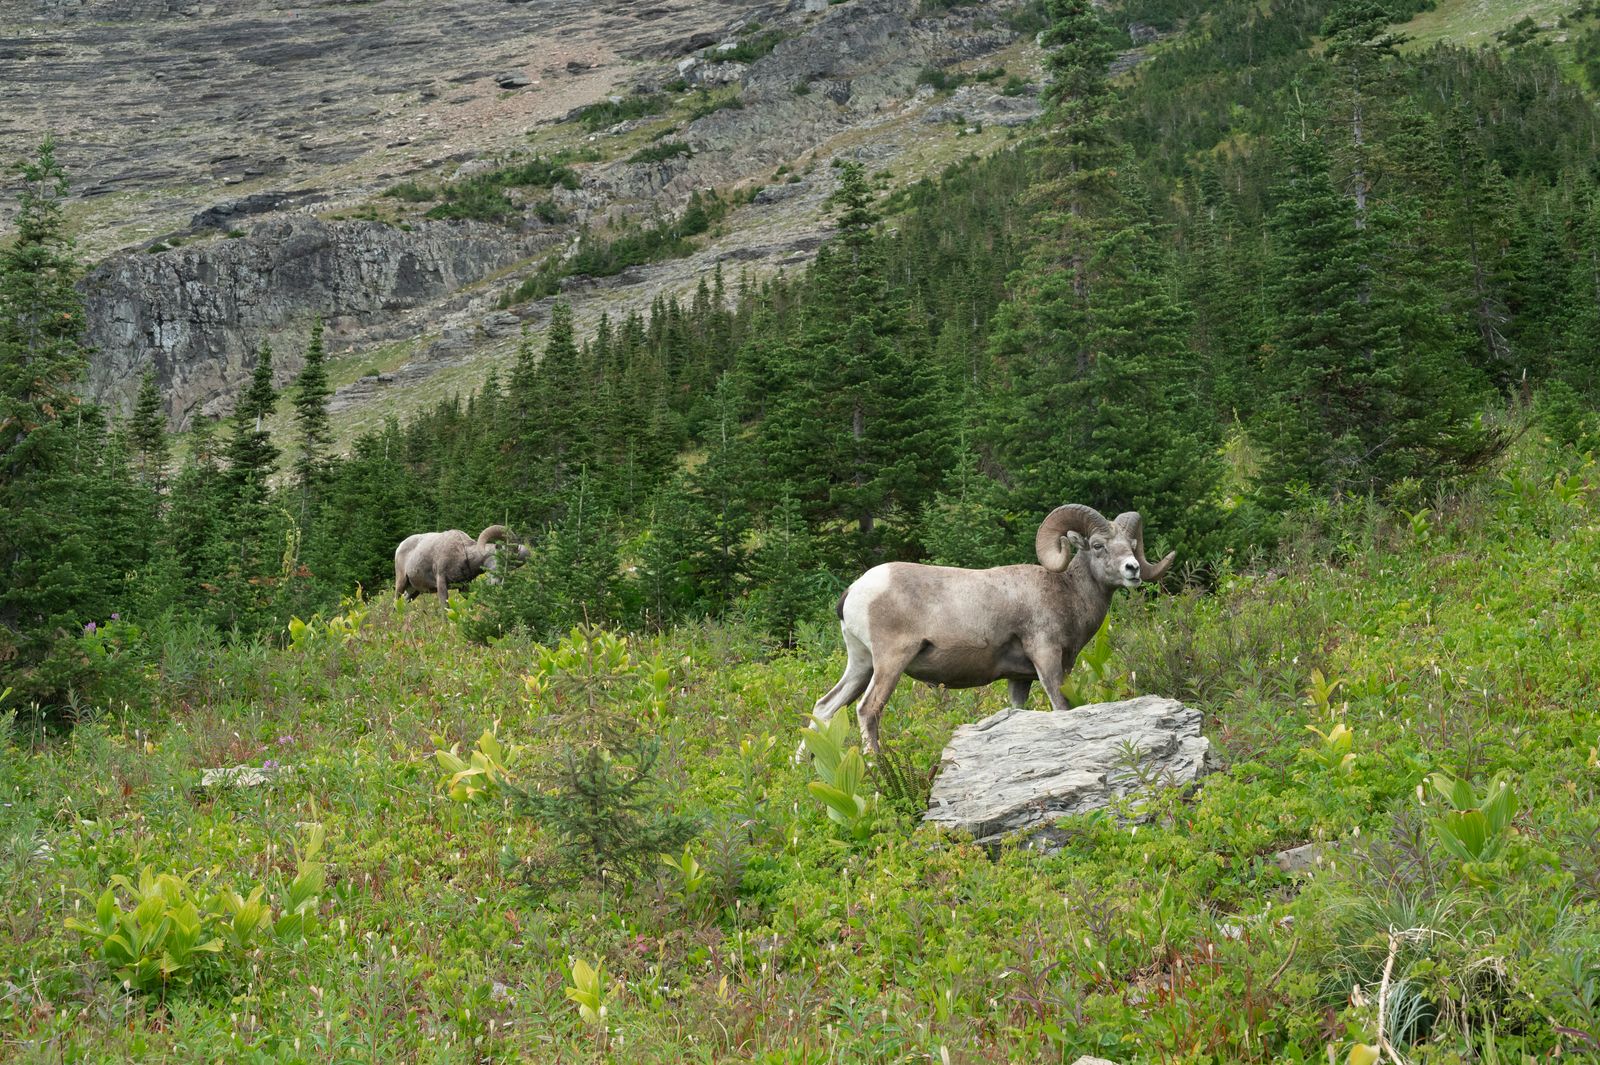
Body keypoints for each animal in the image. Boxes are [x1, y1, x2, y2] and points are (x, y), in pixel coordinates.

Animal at [393, 524, 531, 604]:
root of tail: (399, 547)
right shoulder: (441, 582)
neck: (462, 554)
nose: (497, 584)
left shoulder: (464, 587)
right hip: (401, 583)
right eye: (501, 560)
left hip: (413, 591)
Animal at [812, 502, 1177, 751]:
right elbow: (1061, 707)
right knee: (867, 710)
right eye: (1098, 546)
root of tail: (854, 591)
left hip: (861, 665)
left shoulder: (1019, 680)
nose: (1132, 569)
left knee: (824, 708)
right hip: (890, 663)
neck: (1066, 593)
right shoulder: (1047, 659)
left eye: (1132, 547)